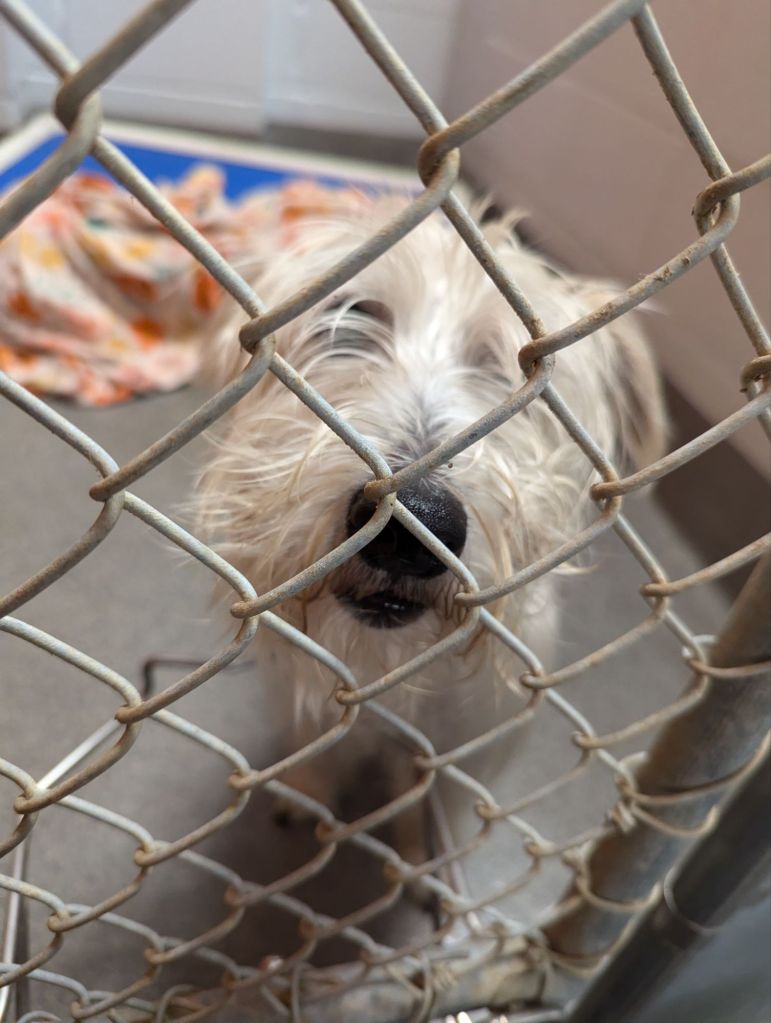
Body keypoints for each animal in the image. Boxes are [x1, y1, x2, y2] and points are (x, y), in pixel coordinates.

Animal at [194, 191, 666, 863]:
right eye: (348, 317)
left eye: (519, 367)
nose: (409, 526)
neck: (391, 666)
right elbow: (320, 757)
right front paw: (306, 793)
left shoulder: (462, 741)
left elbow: (422, 795)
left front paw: (419, 852)